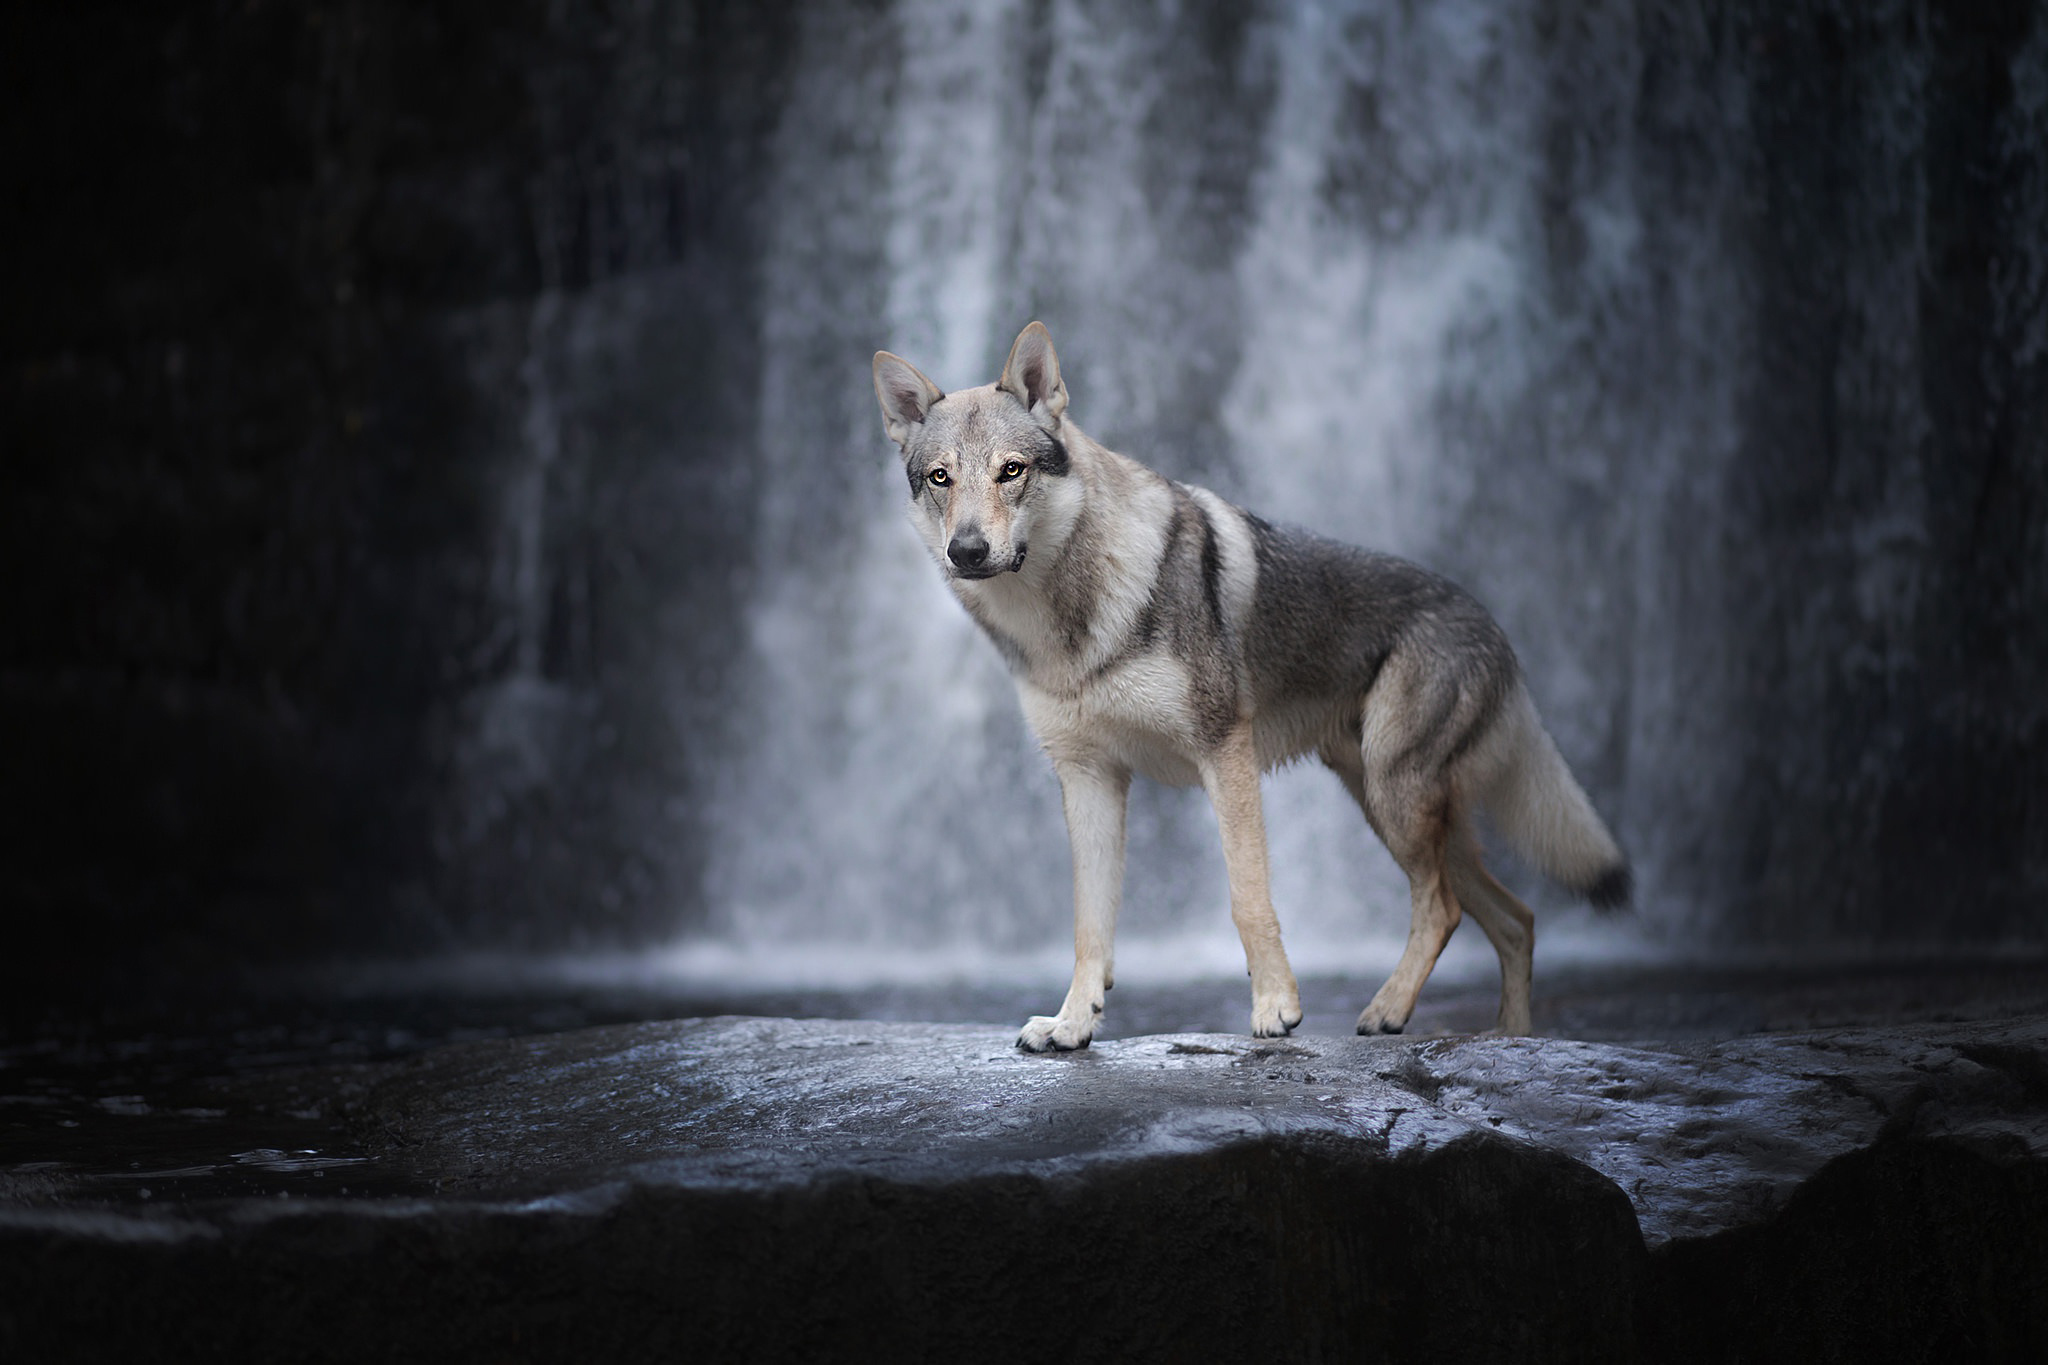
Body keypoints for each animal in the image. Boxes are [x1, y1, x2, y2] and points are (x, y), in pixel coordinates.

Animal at [872, 325, 1622, 1055]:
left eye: (1012, 470)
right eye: (941, 477)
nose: (967, 551)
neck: (1069, 625)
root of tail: (1494, 627)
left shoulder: (1224, 751)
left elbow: (1248, 895)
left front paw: (1276, 1010)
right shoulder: (1088, 778)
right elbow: (1090, 923)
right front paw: (1072, 1024)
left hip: (1395, 799)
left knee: (1445, 908)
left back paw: (1388, 1011)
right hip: (1395, 808)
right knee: (1516, 917)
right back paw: (1513, 1039)